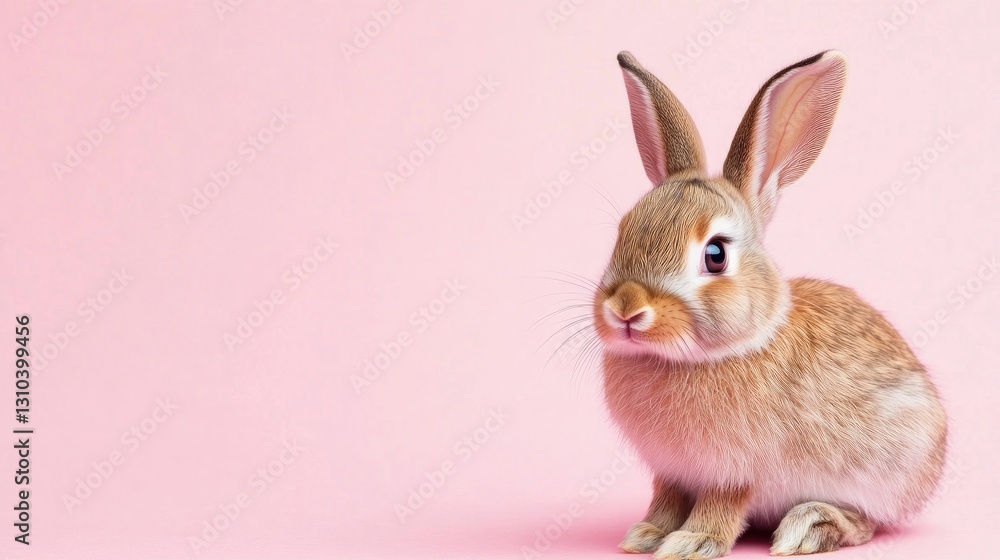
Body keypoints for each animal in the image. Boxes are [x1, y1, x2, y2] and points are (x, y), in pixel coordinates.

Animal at [593, 50, 947, 558]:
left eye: (715, 254)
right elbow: (665, 498)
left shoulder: (736, 471)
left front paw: (693, 542)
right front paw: (646, 535)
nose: (626, 308)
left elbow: (720, 505)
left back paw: (811, 526)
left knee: (868, 523)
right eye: (623, 231)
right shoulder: (671, 471)